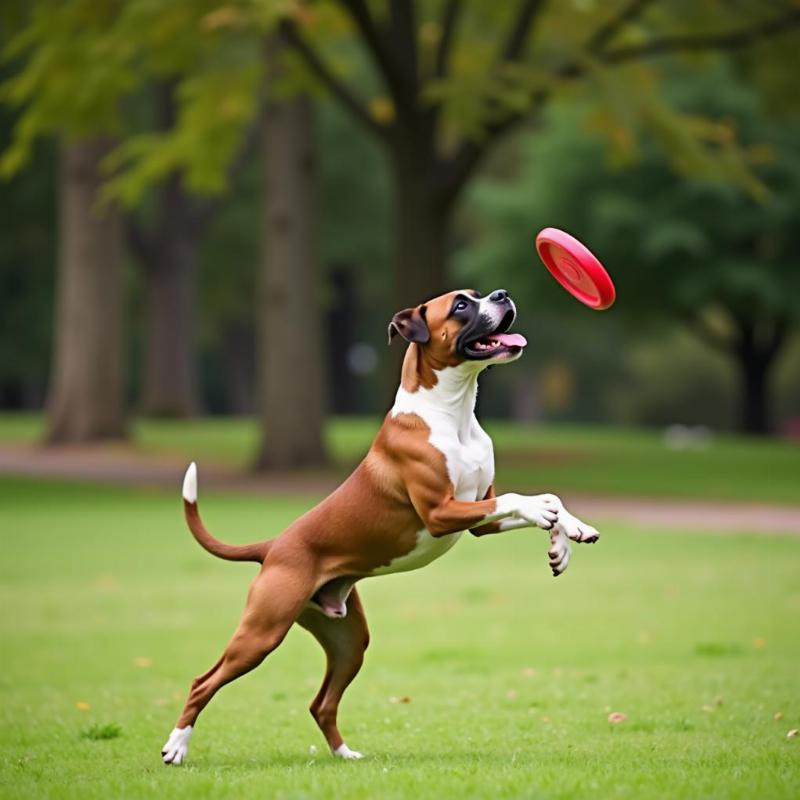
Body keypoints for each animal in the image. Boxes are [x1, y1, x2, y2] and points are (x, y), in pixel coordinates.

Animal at [162, 288, 596, 764]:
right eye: (461, 305)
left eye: (479, 295)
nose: (501, 295)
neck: (452, 413)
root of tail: (274, 545)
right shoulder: (442, 513)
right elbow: (523, 500)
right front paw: (549, 520)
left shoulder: (479, 515)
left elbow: (547, 499)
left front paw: (567, 538)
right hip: (261, 634)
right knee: (204, 682)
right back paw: (176, 747)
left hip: (348, 641)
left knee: (321, 702)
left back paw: (344, 754)